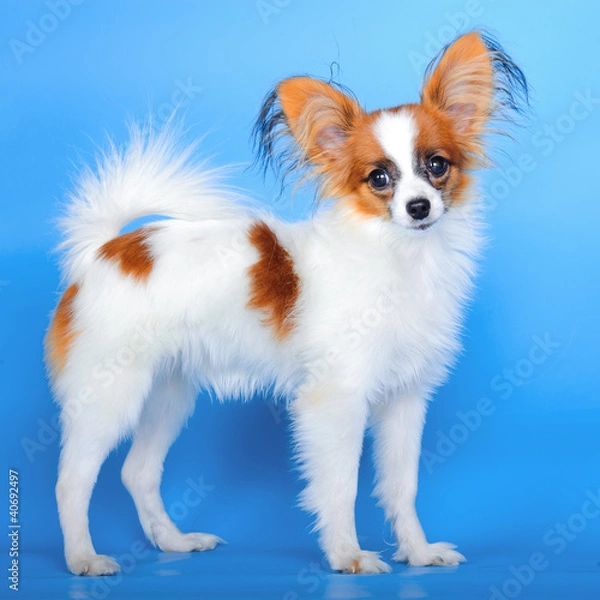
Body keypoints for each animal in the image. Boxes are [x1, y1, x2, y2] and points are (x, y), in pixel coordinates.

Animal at [45, 32, 524, 576]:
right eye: (379, 179)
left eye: (437, 165)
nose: (418, 207)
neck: (400, 255)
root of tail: (104, 250)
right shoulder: (335, 398)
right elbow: (340, 485)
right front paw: (347, 555)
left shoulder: (405, 399)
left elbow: (401, 487)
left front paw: (418, 553)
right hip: (111, 393)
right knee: (72, 479)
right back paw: (83, 557)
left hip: (168, 392)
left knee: (137, 471)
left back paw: (174, 542)